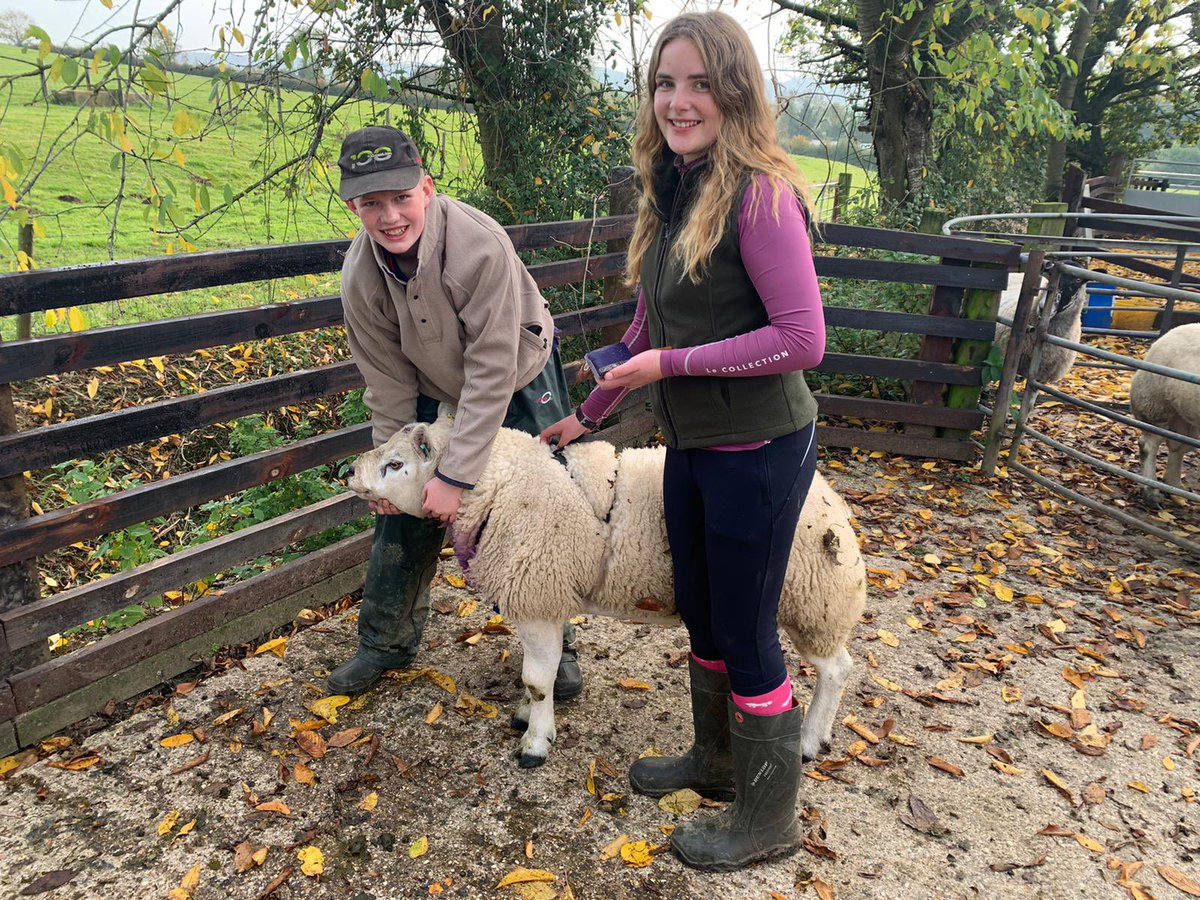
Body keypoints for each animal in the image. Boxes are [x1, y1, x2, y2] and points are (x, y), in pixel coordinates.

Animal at [345, 412, 864, 772]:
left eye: (396, 464)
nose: (348, 473)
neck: (503, 484)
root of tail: (833, 504)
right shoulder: (544, 597)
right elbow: (538, 675)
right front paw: (527, 716)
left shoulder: (536, 593)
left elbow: (536, 678)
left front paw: (535, 744)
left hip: (811, 603)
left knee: (837, 669)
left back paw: (809, 742)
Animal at [1128, 321, 1195, 508]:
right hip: (1155, 405)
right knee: (1149, 445)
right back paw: (1152, 493)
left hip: (1185, 416)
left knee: (1178, 446)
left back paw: (1175, 488)